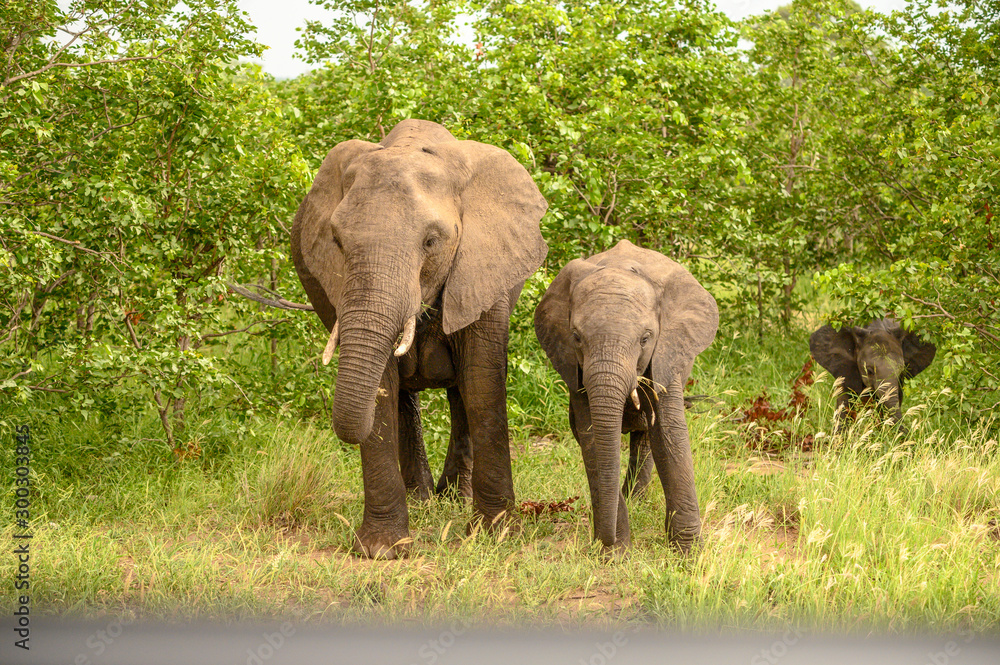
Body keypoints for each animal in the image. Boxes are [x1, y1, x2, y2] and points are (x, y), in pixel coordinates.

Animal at [292, 118, 548, 556]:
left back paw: (455, 497)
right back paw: (423, 499)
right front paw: (382, 550)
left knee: (462, 391)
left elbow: (482, 382)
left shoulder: (485, 267)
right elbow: (382, 389)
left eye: (431, 242)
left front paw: (495, 536)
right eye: (337, 242)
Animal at [536, 241, 716, 552]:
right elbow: (592, 440)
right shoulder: (574, 367)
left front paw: (689, 554)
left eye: (645, 338)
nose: (605, 539)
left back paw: (636, 499)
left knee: (646, 437)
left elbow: (668, 433)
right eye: (576, 337)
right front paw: (614, 552)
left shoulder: (668, 352)